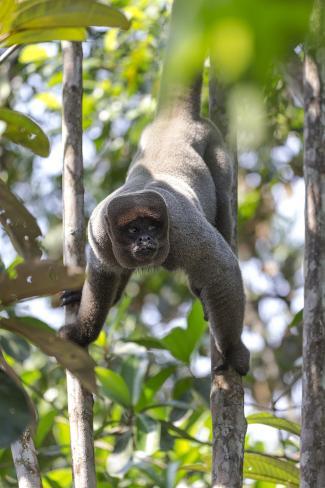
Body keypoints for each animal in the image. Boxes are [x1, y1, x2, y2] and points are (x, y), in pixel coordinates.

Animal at [59, 0, 249, 378]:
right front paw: (82, 334)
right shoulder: (99, 235)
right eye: (133, 230)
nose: (145, 239)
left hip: (215, 146)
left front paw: (234, 351)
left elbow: (222, 270)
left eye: (152, 226)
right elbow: (103, 277)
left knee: (223, 203)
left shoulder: (182, 230)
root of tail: (173, 122)